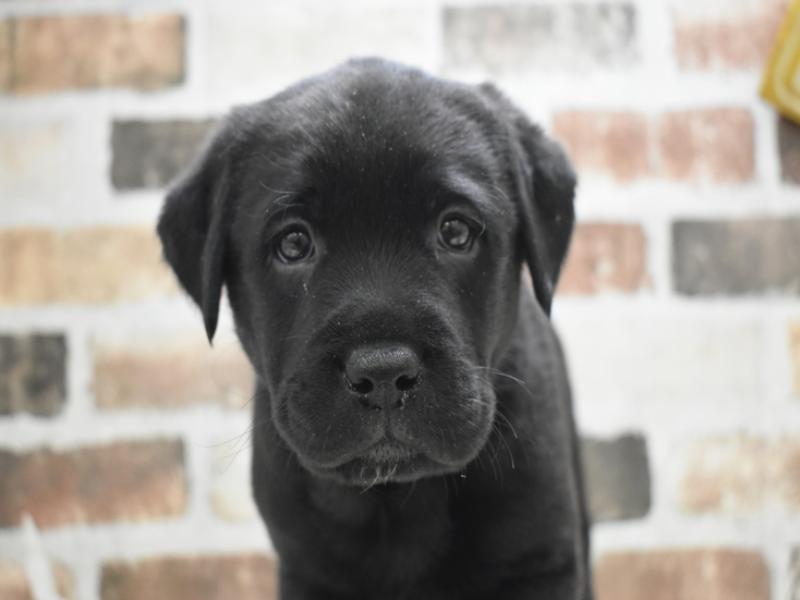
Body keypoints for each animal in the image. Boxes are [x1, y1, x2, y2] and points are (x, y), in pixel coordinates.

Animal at [157, 58, 592, 600]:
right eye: (293, 244)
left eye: (456, 231)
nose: (383, 372)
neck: (396, 499)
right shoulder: (307, 570)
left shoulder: (539, 561)